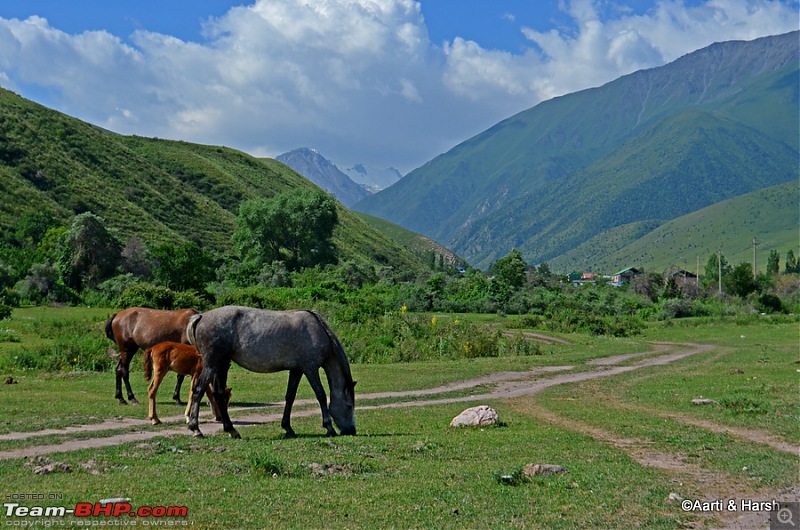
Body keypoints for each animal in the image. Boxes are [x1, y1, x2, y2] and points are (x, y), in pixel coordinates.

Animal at [186, 306, 354, 438]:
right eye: (350, 406)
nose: (352, 430)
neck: (317, 331)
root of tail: (201, 317)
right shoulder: (310, 369)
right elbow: (320, 395)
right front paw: (329, 427)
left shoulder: (296, 370)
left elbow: (290, 397)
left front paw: (288, 428)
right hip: (212, 365)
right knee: (198, 391)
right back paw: (196, 429)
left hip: (222, 365)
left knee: (219, 395)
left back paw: (232, 430)